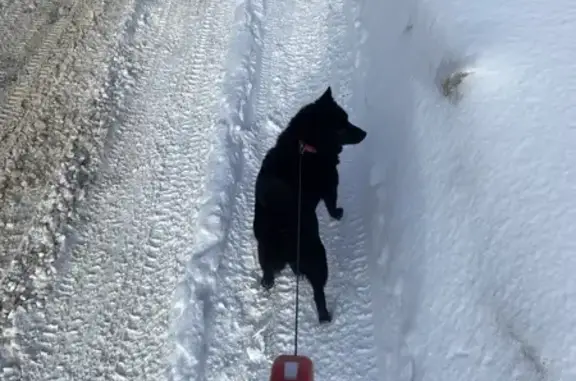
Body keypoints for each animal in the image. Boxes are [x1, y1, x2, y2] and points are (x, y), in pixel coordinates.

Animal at [251, 87, 364, 322]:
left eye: (347, 119)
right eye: (341, 126)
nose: (364, 133)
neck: (305, 145)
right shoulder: (331, 186)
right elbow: (332, 204)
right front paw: (337, 214)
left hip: (264, 250)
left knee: (268, 273)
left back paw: (269, 283)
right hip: (317, 257)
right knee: (318, 292)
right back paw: (325, 316)